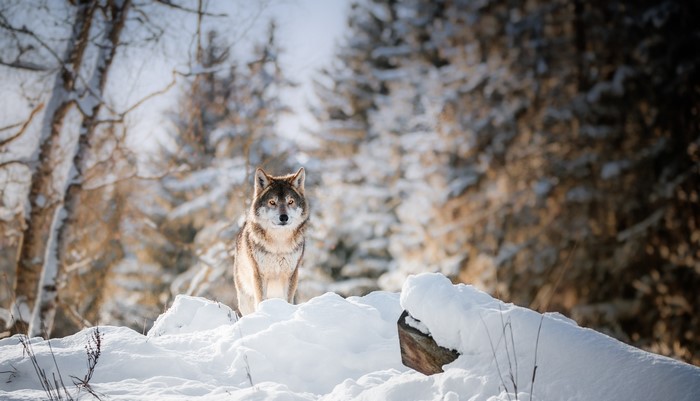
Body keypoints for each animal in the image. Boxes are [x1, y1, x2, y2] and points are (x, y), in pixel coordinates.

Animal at [233, 167, 308, 315]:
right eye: (272, 202)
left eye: (290, 201)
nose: (284, 217)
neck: (279, 244)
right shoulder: (259, 275)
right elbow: (260, 300)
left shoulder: (291, 275)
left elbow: (287, 300)